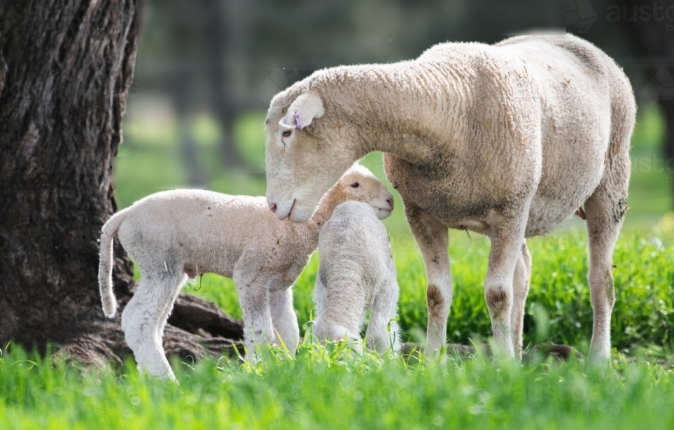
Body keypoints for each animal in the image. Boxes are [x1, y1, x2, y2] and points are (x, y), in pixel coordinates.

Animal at [97, 163, 392, 378]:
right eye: (354, 184)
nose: (390, 200)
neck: (294, 227)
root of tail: (124, 215)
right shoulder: (252, 274)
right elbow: (261, 331)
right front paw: (258, 369)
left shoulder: (279, 283)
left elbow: (288, 330)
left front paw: (285, 367)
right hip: (158, 260)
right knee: (138, 320)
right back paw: (165, 379)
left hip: (167, 268)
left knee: (153, 323)